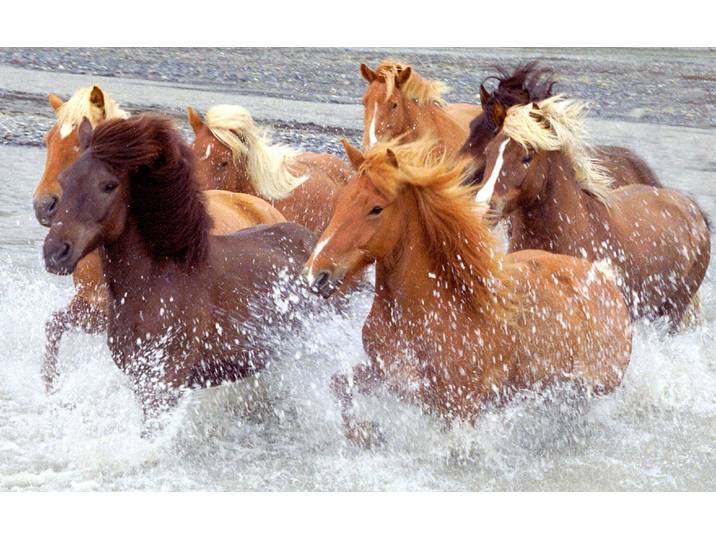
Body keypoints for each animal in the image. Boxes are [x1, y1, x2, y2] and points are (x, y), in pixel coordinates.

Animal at [303, 138, 632, 448]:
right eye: (339, 202)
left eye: (376, 209)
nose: (316, 275)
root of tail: (604, 277)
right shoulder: (386, 373)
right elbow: (339, 385)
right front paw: (367, 433)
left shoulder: (458, 404)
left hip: (588, 388)